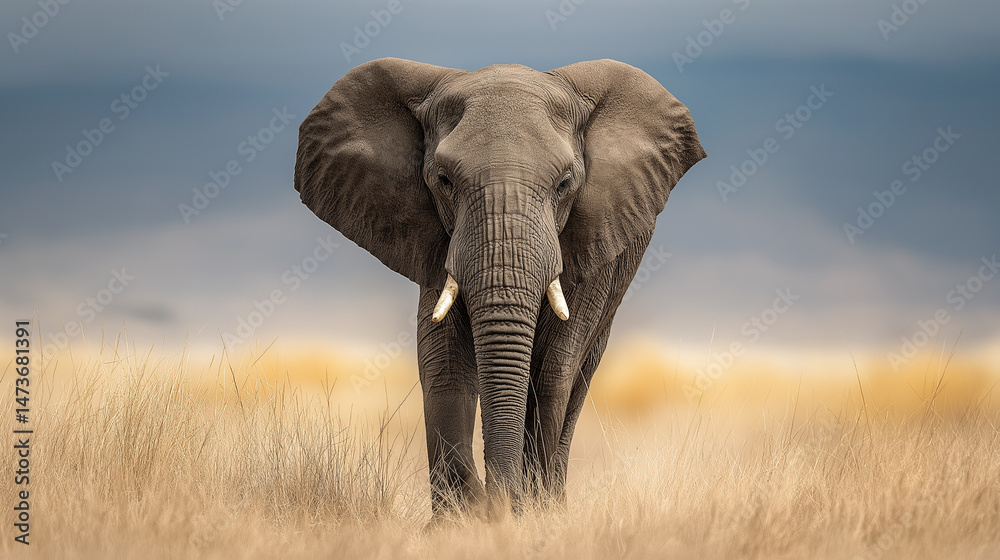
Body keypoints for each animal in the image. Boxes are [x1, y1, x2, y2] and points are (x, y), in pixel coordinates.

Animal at [294, 57, 705, 517]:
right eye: (443, 180)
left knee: (575, 377)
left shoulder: (592, 237)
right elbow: (443, 360)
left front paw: (529, 515)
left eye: (565, 184)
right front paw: (462, 518)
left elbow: (551, 367)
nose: (498, 502)